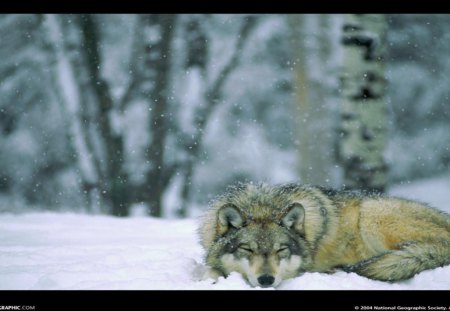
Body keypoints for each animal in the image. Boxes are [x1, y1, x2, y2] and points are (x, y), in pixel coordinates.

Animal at [200, 184, 450, 288]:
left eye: (281, 250)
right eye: (247, 249)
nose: (266, 280)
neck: (262, 206)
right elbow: (209, 269)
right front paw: (209, 279)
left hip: (372, 214)